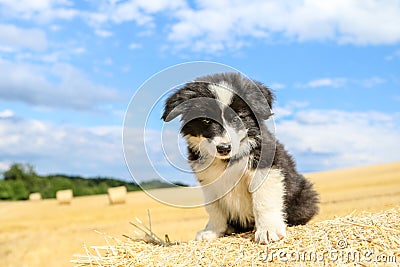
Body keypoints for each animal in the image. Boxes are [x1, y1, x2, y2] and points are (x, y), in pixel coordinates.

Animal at [161, 72, 318, 244]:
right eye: (206, 120)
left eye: (237, 118)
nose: (224, 148)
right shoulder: (208, 180)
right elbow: (214, 208)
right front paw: (212, 231)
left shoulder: (266, 168)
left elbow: (263, 200)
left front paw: (268, 230)